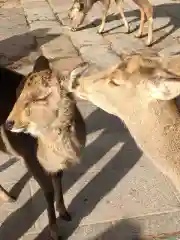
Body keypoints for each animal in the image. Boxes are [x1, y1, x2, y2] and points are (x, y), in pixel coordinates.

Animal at [3, 55, 86, 239]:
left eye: (39, 98)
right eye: (18, 93)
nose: (8, 123)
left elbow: (58, 179)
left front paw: (64, 213)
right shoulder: (30, 158)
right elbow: (48, 190)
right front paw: (55, 232)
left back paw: (9, 197)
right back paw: (9, 198)